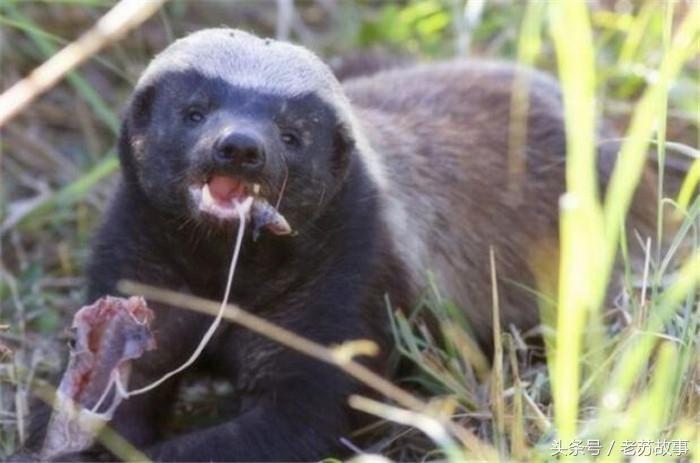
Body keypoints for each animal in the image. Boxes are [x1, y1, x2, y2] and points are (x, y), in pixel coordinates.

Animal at [21, 28, 658, 461]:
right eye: (194, 111)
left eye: (291, 135)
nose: (240, 147)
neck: (224, 267)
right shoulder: (138, 256)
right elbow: (126, 381)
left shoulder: (353, 271)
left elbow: (305, 418)